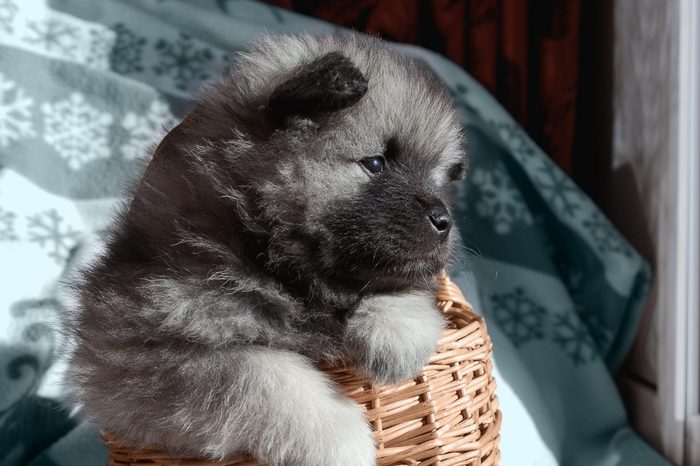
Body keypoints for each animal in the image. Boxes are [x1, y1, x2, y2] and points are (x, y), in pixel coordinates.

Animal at [68, 33, 468, 466]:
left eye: (439, 178)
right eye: (375, 163)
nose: (444, 220)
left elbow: (404, 289)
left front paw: (395, 335)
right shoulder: (142, 353)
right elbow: (264, 374)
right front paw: (342, 443)